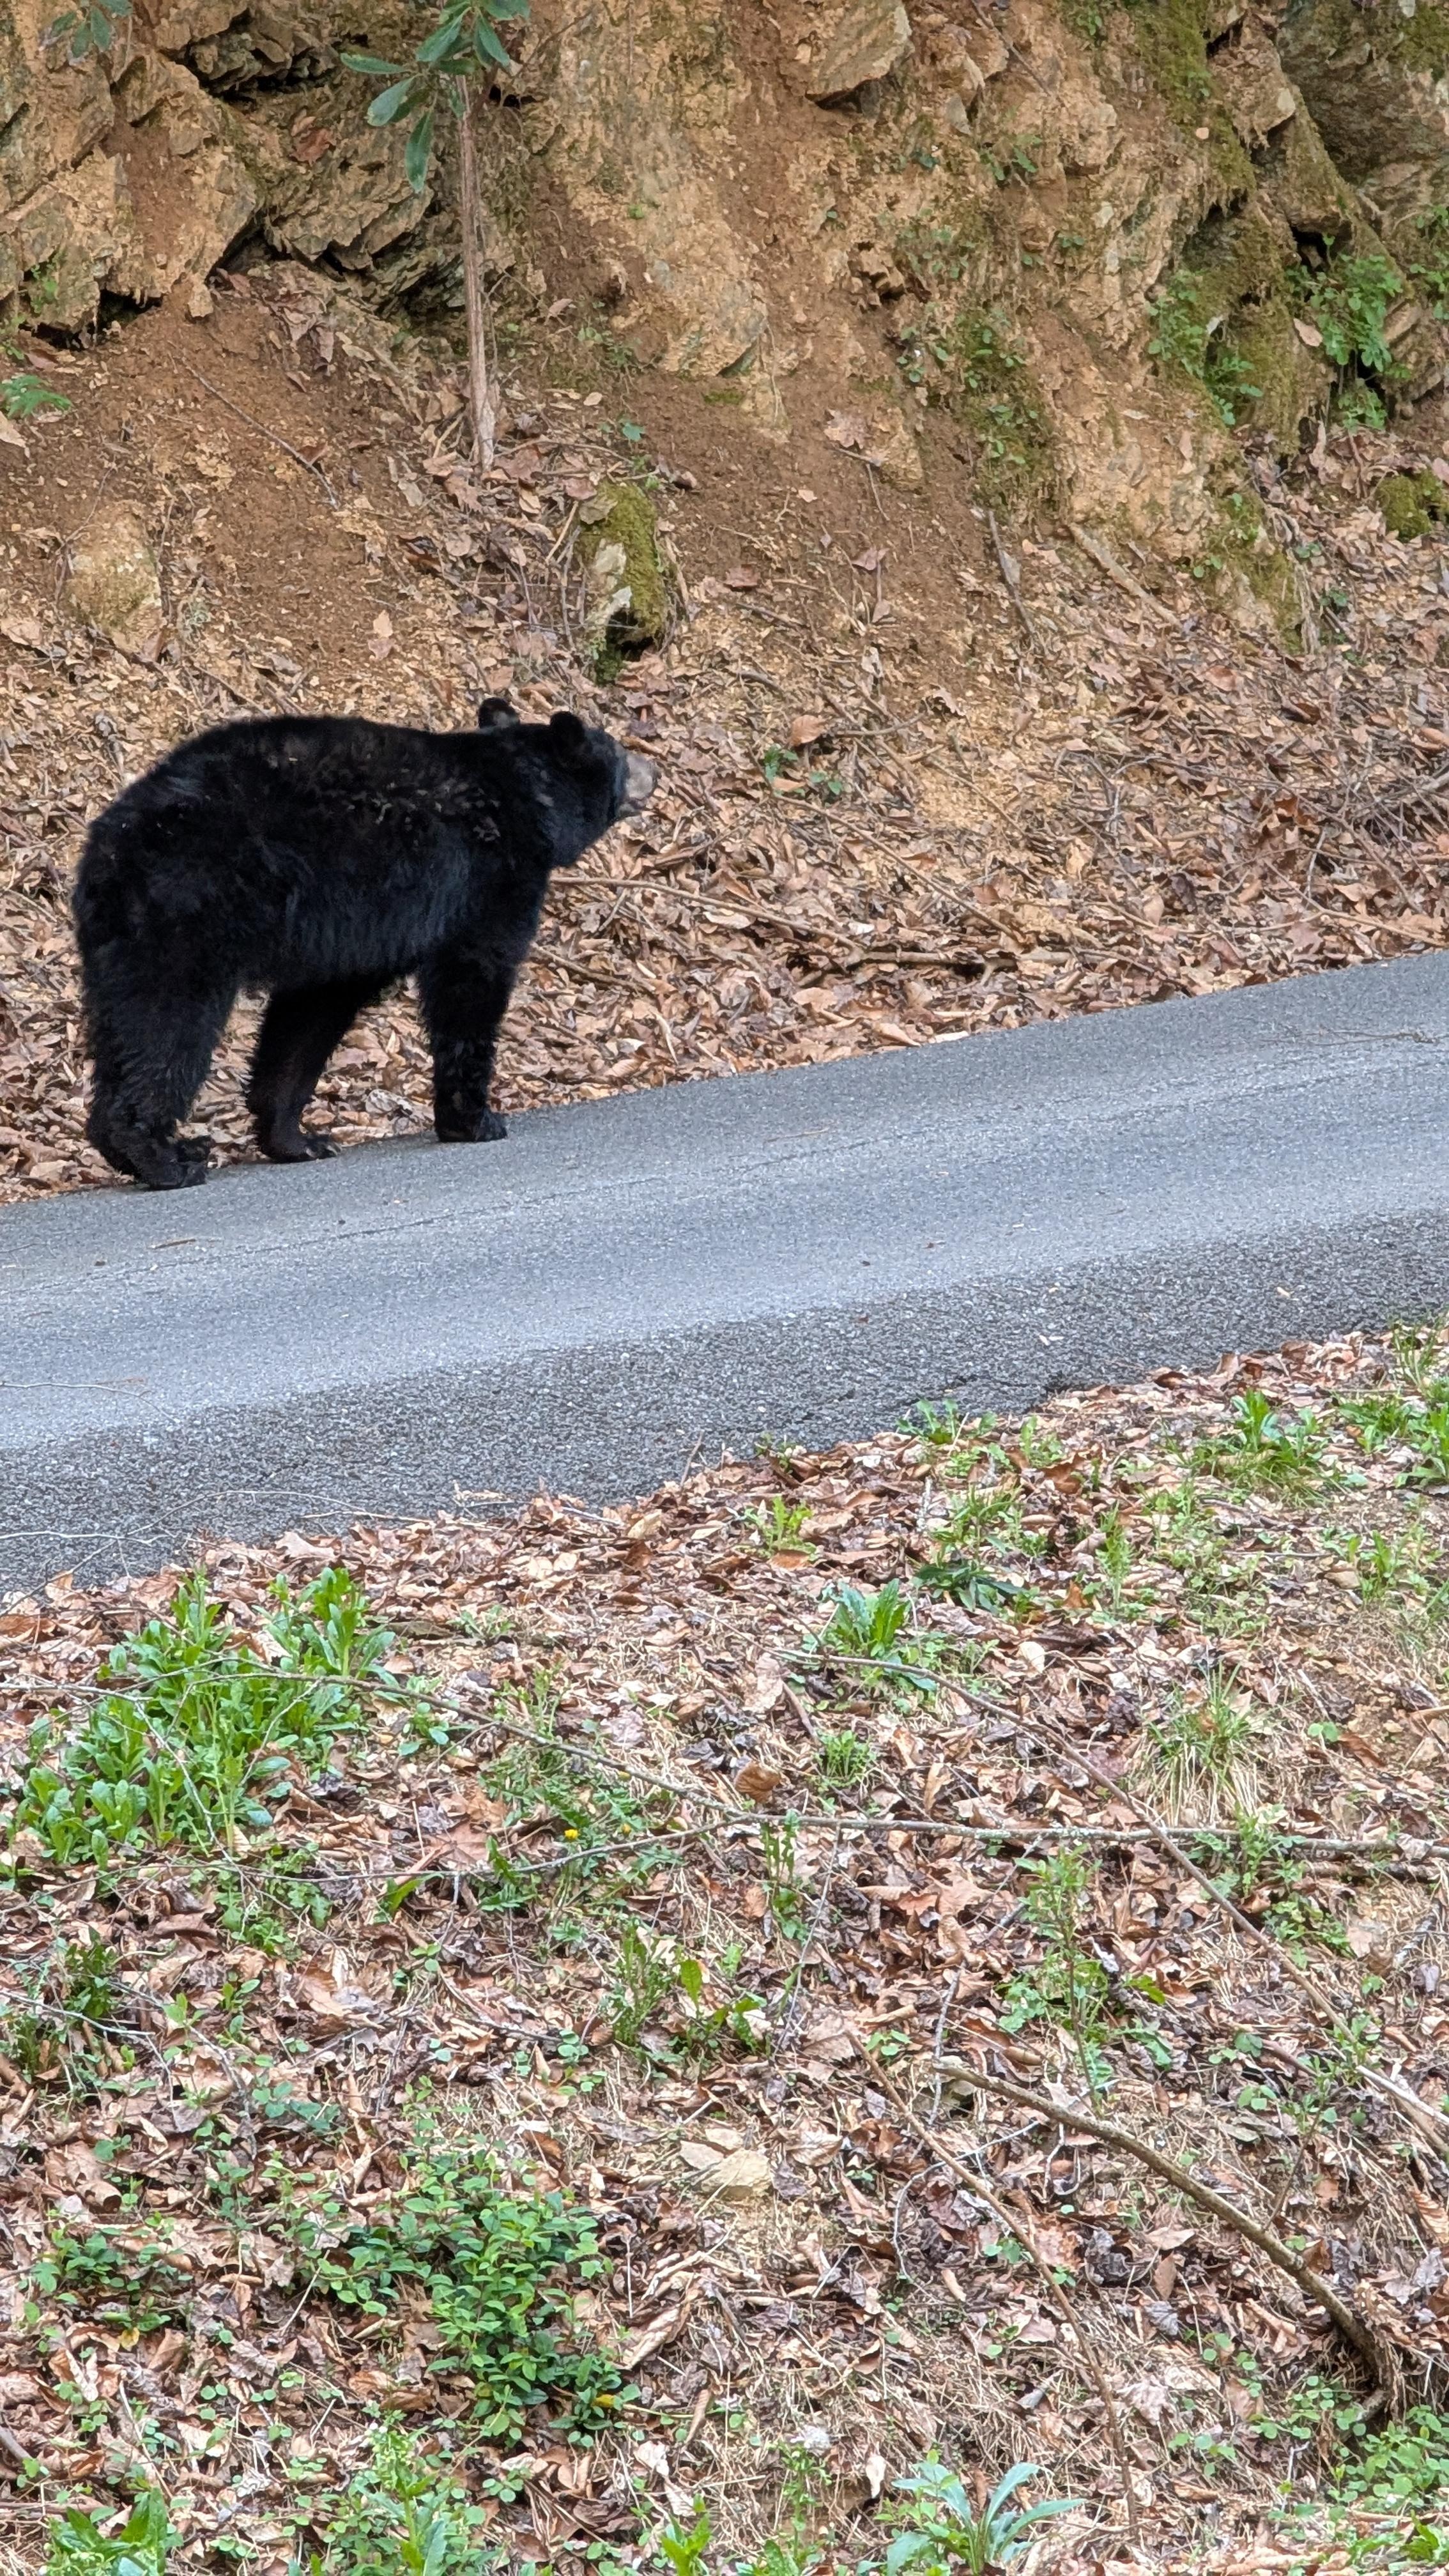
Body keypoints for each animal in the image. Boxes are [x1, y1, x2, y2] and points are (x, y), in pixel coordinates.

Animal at [72, 698, 656, 1190]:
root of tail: (114, 843)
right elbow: (471, 979)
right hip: (189, 912)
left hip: (115, 941)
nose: (654, 768)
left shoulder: (344, 933)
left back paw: (121, 1145)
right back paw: (165, 1157)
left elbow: (309, 1014)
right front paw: (475, 1119)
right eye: (617, 751)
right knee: (169, 1024)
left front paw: (296, 1138)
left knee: (121, 1027)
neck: (526, 795)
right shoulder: (485, 881)